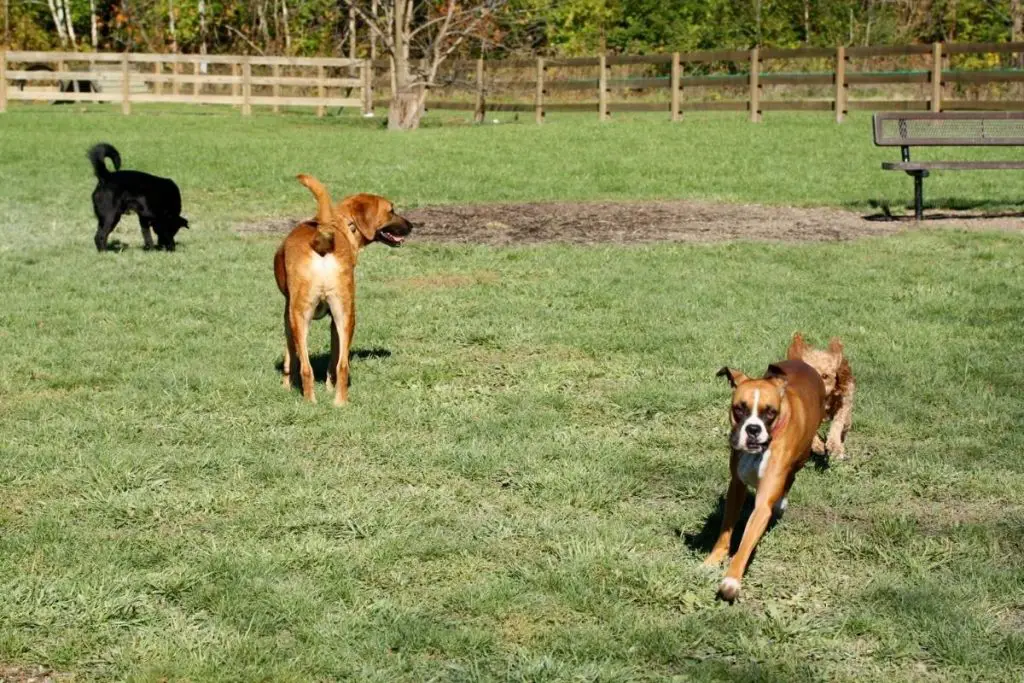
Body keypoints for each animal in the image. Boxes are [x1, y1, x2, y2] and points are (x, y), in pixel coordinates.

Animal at [276, 174, 415, 405]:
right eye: (391, 210)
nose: (412, 225)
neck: (343, 225)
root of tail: (322, 239)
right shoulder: (333, 319)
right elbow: (332, 360)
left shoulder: (288, 316)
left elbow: (291, 358)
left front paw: (286, 387)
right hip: (345, 314)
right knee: (342, 364)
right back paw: (339, 402)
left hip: (300, 315)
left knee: (306, 367)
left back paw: (310, 402)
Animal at [700, 360, 827, 602]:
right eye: (739, 409)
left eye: (770, 412)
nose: (753, 428)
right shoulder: (736, 488)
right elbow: (726, 530)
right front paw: (713, 560)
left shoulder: (762, 506)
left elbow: (746, 543)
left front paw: (731, 580)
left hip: (802, 456)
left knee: (791, 479)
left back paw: (782, 503)